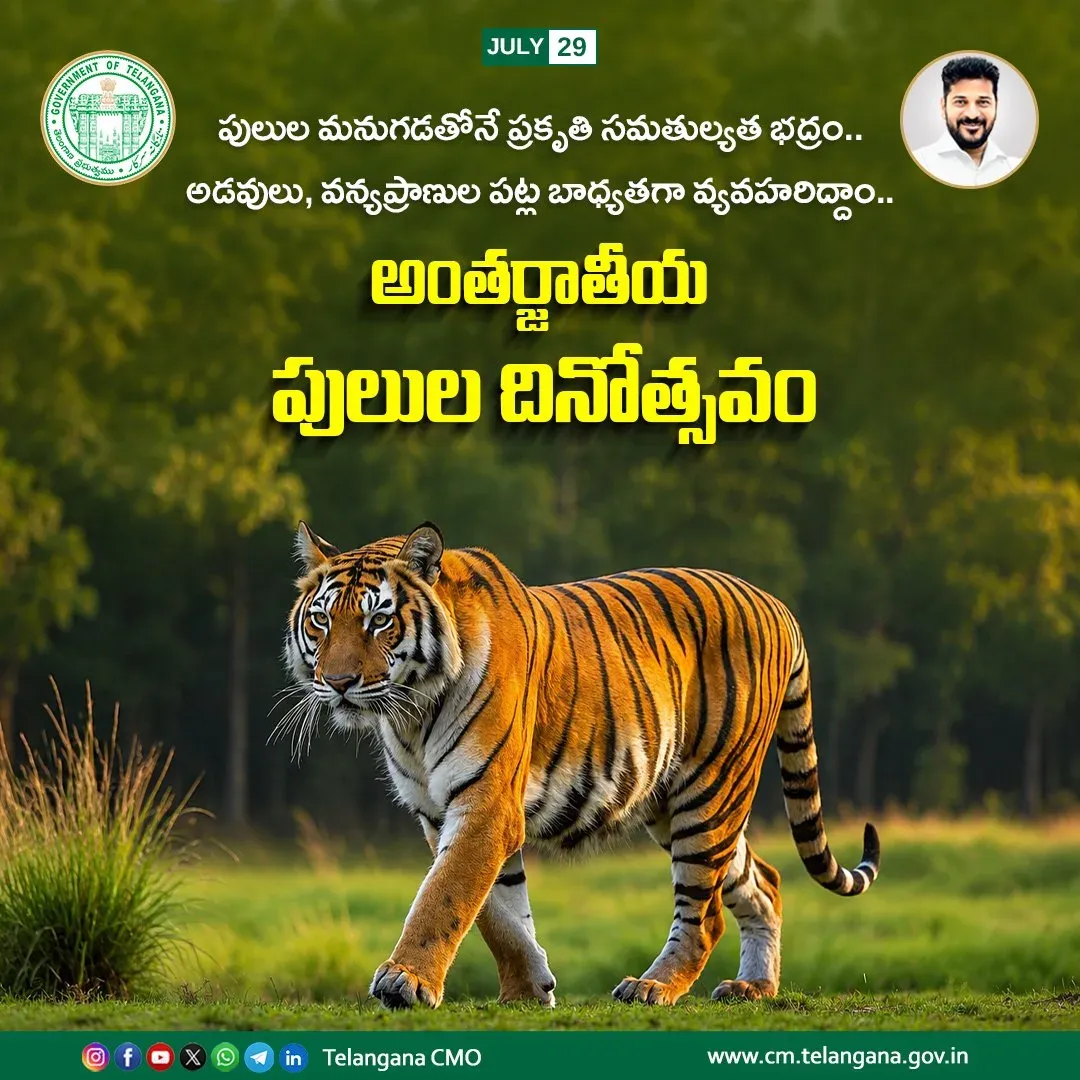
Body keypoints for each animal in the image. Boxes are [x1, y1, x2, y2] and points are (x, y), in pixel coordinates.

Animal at [280, 520, 880, 1010]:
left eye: (379, 620)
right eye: (321, 622)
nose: (338, 683)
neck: (409, 714)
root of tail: (776, 604)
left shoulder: (486, 805)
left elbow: (444, 894)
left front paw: (405, 980)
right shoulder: (438, 811)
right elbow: (495, 913)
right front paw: (527, 990)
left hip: (712, 790)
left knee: (704, 913)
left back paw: (653, 987)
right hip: (675, 803)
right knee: (766, 880)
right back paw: (754, 987)